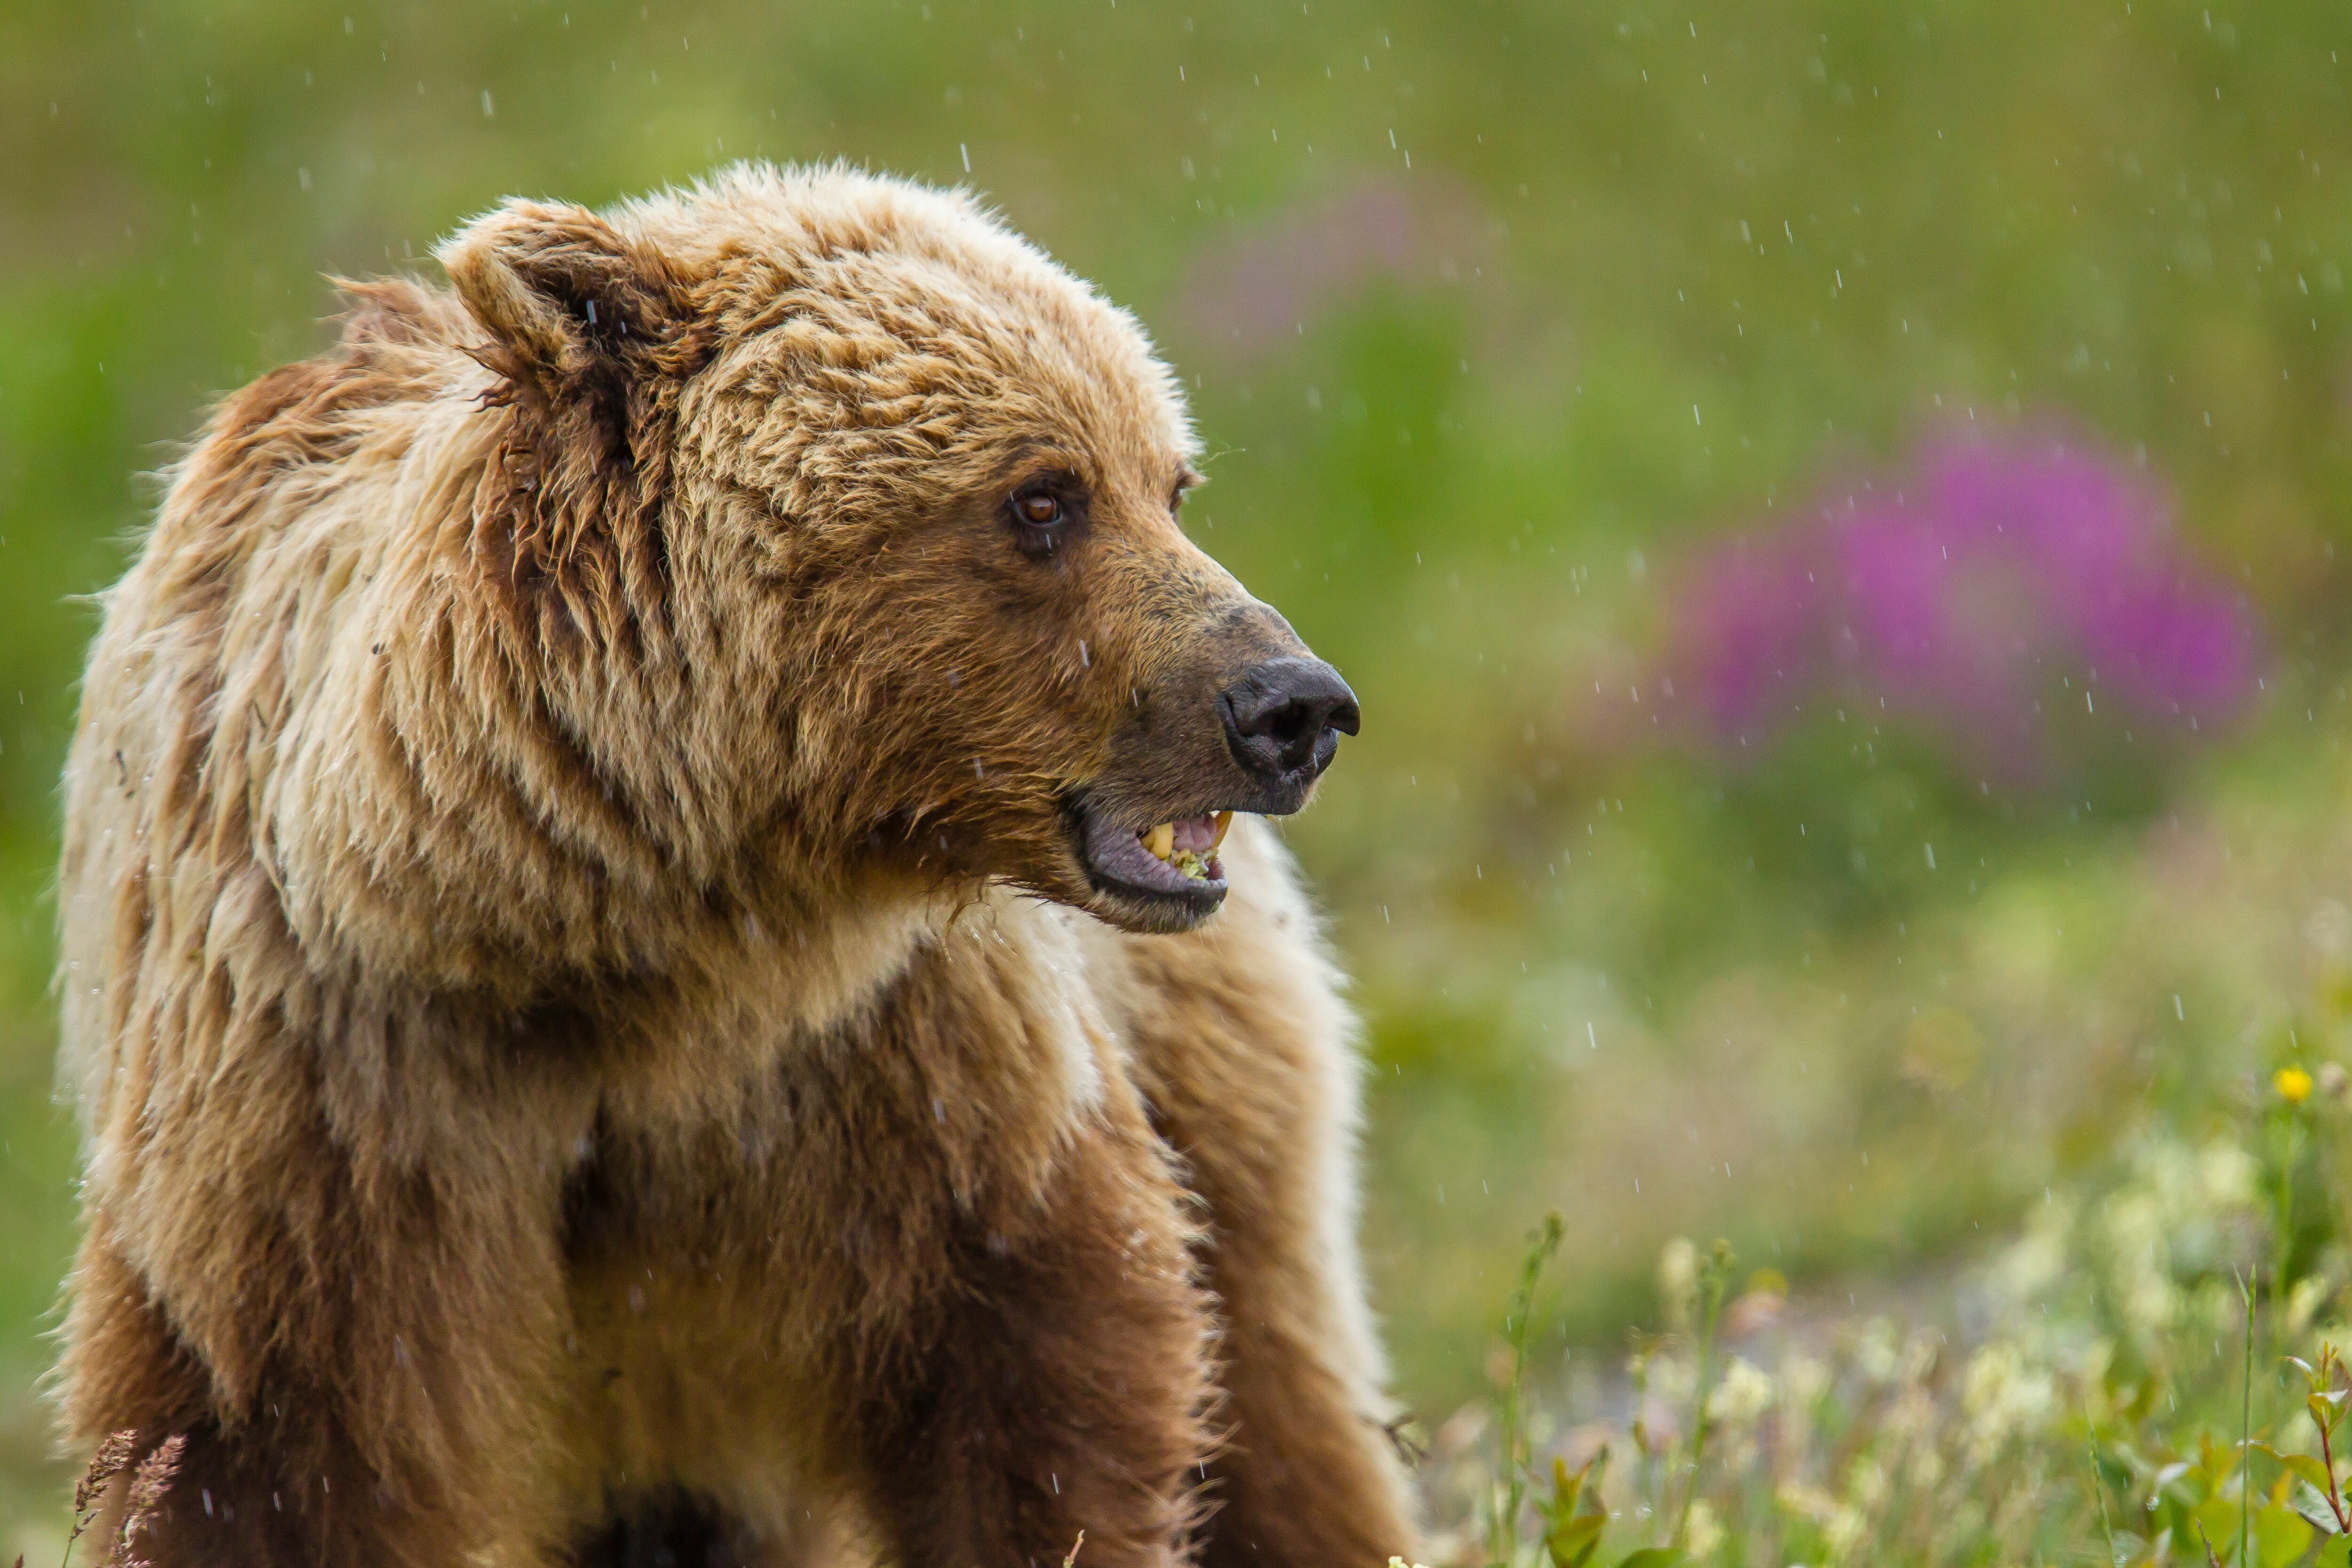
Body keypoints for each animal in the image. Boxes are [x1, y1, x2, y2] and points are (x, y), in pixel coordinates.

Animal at [53, 163, 1417, 1568]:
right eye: (1045, 495)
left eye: (1169, 482)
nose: (1292, 704)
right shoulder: (328, 1080)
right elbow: (266, 1447)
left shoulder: (902, 1063)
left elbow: (1046, 1367)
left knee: (1277, 1374)